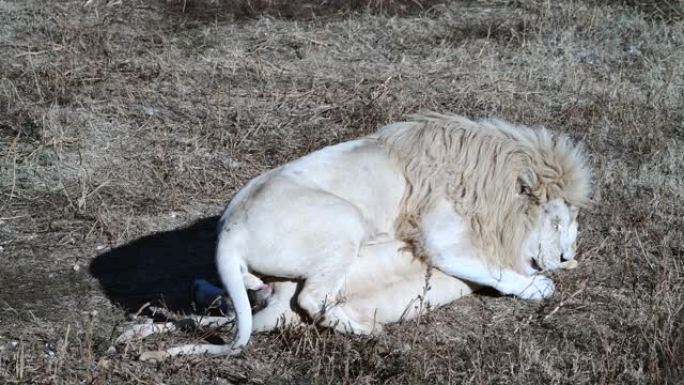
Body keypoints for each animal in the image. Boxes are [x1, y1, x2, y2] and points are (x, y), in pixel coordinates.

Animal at [125, 112, 592, 358]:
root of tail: (230, 233)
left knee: (234, 298)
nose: (567, 257)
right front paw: (538, 287)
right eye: (556, 221)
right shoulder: (440, 238)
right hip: (345, 220)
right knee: (311, 299)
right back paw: (369, 331)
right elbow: (489, 267)